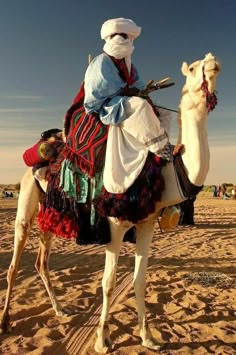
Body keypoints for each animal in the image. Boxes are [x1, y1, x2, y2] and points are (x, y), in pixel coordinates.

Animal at [0, 52, 221, 354]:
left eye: (209, 65)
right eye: (194, 68)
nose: (212, 62)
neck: (163, 172)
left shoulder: (146, 223)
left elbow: (139, 281)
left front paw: (148, 337)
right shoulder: (114, 225)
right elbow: (108, 282)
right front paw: (102, 340)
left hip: (51, 212)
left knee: (41, 262)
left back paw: (60, 310)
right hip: (25, 200)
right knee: (14, 264)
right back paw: (5, 322)